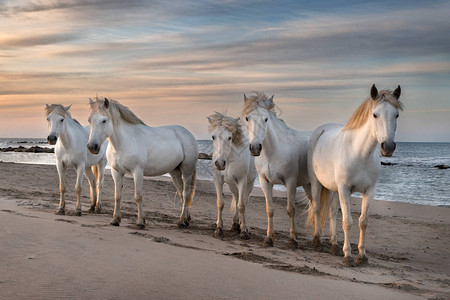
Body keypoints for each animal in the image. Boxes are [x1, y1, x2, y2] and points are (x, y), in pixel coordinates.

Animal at [86, 97, 197, 229]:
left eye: (104, 120)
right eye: (89, 120)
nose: (92, 147)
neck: (124, 142)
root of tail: (189, 134)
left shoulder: (137, 172)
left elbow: (138, 197)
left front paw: (140, 222)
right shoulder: (116, 172)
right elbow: (117, 196)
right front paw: (115, 220)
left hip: (187, 171)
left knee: (186, 194)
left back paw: (182, 221)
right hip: (174, 172)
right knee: (181, 193)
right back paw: (186, 219)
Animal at [243, 92, 310, 247]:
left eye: (266, 119)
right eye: (247, 118)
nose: (255, 148)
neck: (273, 151)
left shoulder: (290, 183)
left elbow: (290, 209)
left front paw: (292, 240)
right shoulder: (265, 182)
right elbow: (270, 210)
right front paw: (269, 238)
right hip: (308, 185)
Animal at [308, 85, 402, 268]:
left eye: (396, 115)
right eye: (375, 114)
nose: (387, 147)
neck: (360, 153)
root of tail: (320, 130)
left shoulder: (369, 191)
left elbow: (363, 222)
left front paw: (362, 256)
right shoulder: (345, 189)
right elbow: (347, 222)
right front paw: (348, 256)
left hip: (334, 189)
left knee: (332, 212)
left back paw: (334, 245)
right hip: (317, 183)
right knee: (316, 208)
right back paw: (317, 243)